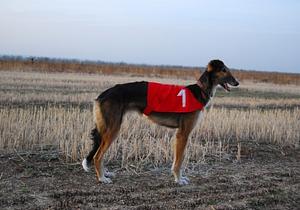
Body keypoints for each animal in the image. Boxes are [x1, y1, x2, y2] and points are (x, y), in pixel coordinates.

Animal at [82, 60, 239, 185]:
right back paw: (102, 178)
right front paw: (178, 180)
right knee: (97, 156)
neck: (199, 91)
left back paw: (105, 173)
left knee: (99, 154)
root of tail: (102, 95)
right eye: (224, 69)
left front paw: (178, 178)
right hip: (113, 128)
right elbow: (179, 160)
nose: (237, 82)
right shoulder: (183, 134)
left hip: (108, 129)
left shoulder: (180, 134)